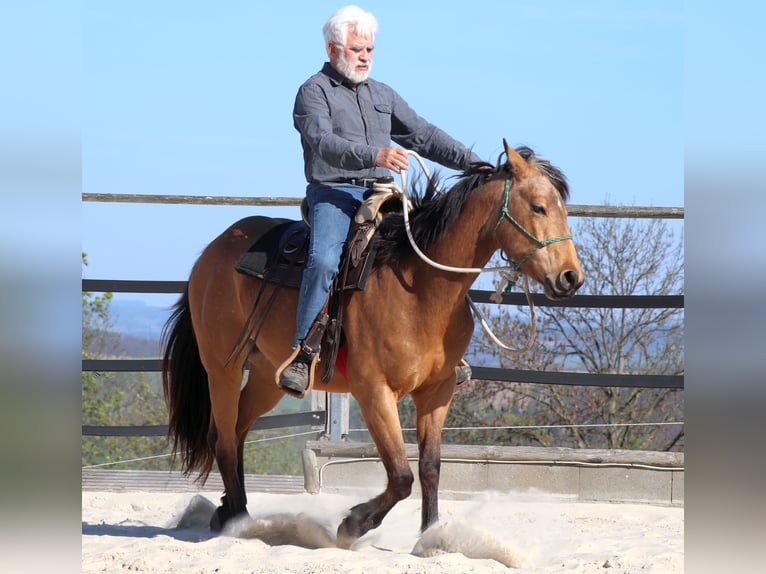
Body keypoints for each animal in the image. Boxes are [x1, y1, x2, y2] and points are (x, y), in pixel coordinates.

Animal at [161, 139, 583, 547]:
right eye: (538, 207)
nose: (570, 277)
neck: (419, 287)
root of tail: (211, 253)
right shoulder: (374, 392)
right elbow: (400, 475)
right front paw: (353, 523)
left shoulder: (438, 392)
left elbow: (430, 468)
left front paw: (430, 535)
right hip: (223, 368)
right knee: (223, 438)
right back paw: (238, 519)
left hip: (267, 376)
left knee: (235, 432)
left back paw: (230, 510)